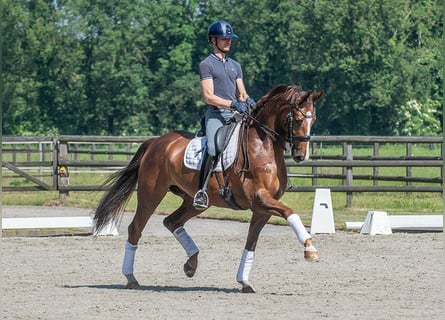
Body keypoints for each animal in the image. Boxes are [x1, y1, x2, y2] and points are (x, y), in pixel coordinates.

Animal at [93, 84, 322, 292]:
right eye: (298, 119)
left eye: (314, 120)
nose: (301, 156)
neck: (263, 147)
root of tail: (156, 142)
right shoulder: (259, 198)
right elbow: (290, 213)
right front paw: (310, 249)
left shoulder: (262, 209)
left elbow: (251, 242)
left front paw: (244, 281)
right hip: (151, 195)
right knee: (136, 228)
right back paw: (131, 277)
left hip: (194, 201)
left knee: (172, 221)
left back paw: (191, 264)